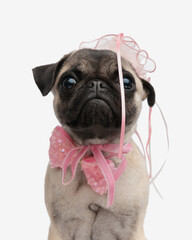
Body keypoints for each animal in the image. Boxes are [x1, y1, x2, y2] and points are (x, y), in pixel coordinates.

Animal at [32, 48, 156, 240]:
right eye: (68, 82)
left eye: (126, 82)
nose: (97, 83)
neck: (95, 148)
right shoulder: (59, 228)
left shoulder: (132, 229)